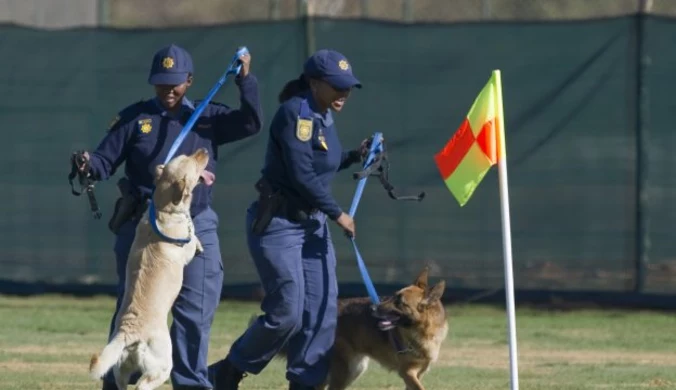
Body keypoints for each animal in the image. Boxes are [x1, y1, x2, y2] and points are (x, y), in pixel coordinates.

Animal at [90, 148, 210, 388]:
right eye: (192, 161)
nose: (204, 151)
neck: (164, 209)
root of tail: (129, 333)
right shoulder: (186, 246)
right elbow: (193, 239)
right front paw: (199, 245)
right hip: (161, 366)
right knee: (143, 384)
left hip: (120, 368)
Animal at [272, 266, 446, 388]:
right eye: (393, 296)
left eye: (399, 302)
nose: (372, 308)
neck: (424, 331)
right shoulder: (407, 372)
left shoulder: (416, 374)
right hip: (345, 370)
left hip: (353, 369)